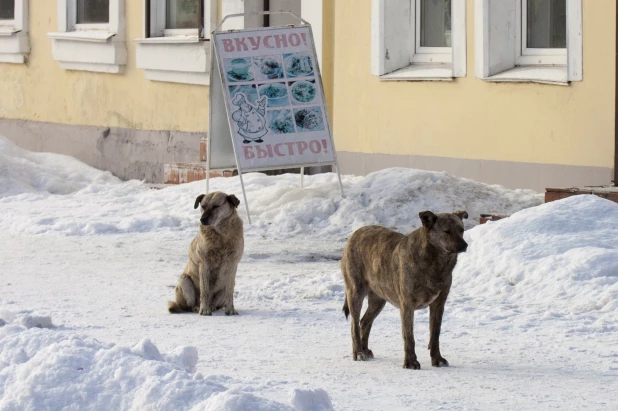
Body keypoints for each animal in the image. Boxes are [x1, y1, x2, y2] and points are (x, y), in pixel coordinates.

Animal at [340, 209, 464, 370]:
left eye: (461, 230)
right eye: (447, 231)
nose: (464, 245)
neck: (435, 262)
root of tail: (355, 234)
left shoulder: (438, 304)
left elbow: (435, 334)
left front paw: (437, 359)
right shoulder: (407, 304)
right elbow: (409, 336)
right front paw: (410, 362)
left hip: (378, 299)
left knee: (364, 321)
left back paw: (365, 350)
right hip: (355, 292)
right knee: (354, 325)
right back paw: (359, 353)